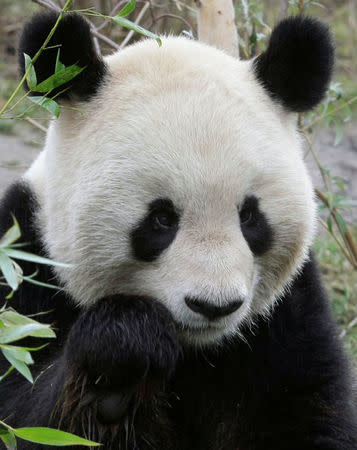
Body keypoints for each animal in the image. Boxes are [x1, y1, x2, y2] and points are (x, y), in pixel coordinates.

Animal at [0, 10, 356, 450]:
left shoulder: (287, 318)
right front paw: (125, 350)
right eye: (162, 219)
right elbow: (22, 406)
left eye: (249, 216)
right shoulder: (24, 259)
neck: (197, 349)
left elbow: (310, 412)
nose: (214, 305)